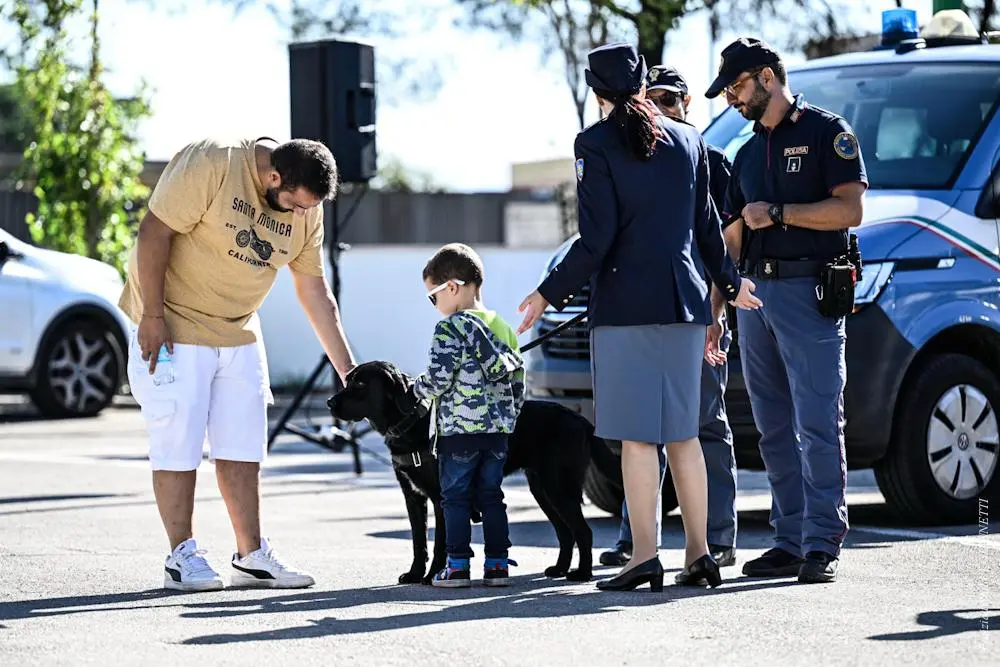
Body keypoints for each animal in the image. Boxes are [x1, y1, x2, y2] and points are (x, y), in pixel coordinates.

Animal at [328, 360, 596, 584]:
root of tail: (583, 421)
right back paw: (559, 569)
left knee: (583, 531)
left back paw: (582, 573)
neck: (412, 424)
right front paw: (414, 574)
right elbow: (418, 541)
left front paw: (432, 575)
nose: (329, 403)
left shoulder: (442, 497)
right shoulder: (413, 497)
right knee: (565, 533)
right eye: (347, 381)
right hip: (542, 489)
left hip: (558, 487)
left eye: (360, 385)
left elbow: (440, 543)